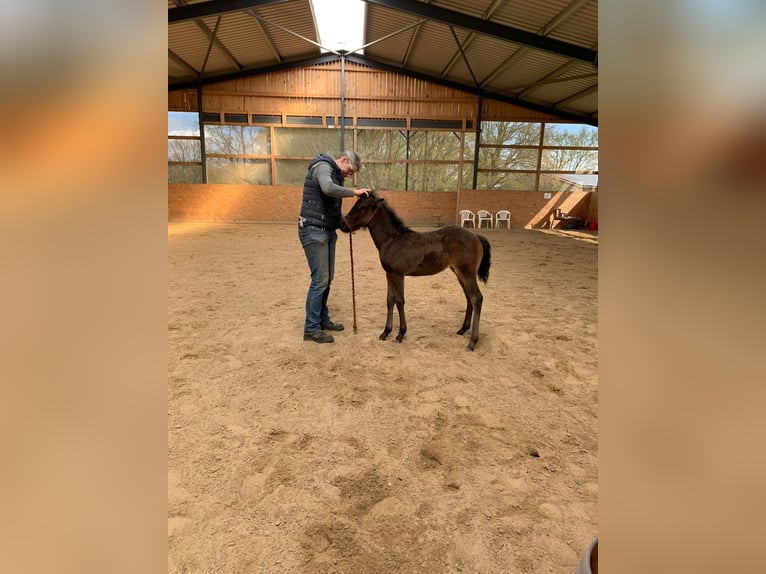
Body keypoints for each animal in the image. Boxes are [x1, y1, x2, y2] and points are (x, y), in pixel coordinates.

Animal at [339, 191, 491, 351]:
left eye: (361, 207)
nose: (342, 225)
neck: (393, 241)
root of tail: (476, 236)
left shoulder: (398, 275)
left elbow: (400, 301)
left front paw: (400, 335)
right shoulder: (389, 274)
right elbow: (390, 300)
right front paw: (385, 332)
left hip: (468, 273)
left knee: (477, 298)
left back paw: (472, 342)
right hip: (459, 273)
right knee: (469, 298)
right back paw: (462, 330)